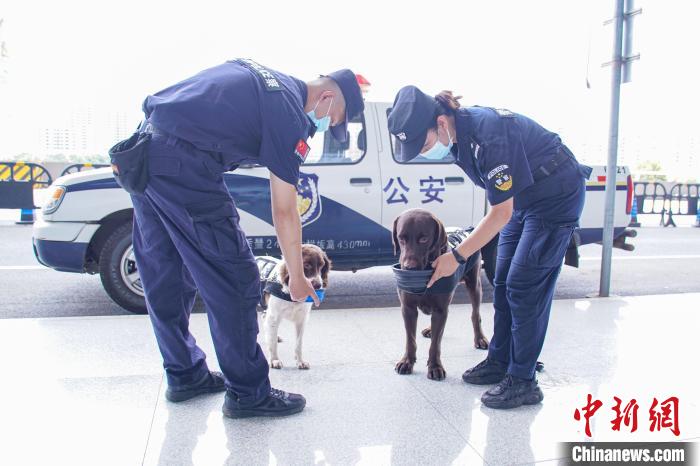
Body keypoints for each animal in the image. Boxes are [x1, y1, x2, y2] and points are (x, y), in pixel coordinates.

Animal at [394, 209, 486, 380]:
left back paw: (480, 338)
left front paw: (435, 366)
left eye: (424, 239)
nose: (408, 268)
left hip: (474, 284)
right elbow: (410, 339)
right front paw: (407, 361)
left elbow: (435, 344)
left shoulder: (440, 308)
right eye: (401, 238)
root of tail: (463, 229)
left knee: (475, 314)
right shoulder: (408, 308)